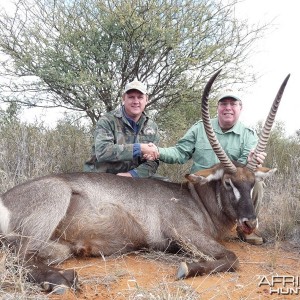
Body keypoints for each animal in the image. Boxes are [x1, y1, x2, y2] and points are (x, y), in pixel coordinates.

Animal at [0, 70, 290, 292]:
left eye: (252, 183)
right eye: (229, 183)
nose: (249, 223)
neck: (195, 198)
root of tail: (5, 199)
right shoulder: (184, 231)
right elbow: (232, 258)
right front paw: (186, 268)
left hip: (59, 247)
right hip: (54, 199)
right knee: (17, 258)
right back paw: (61, 280)